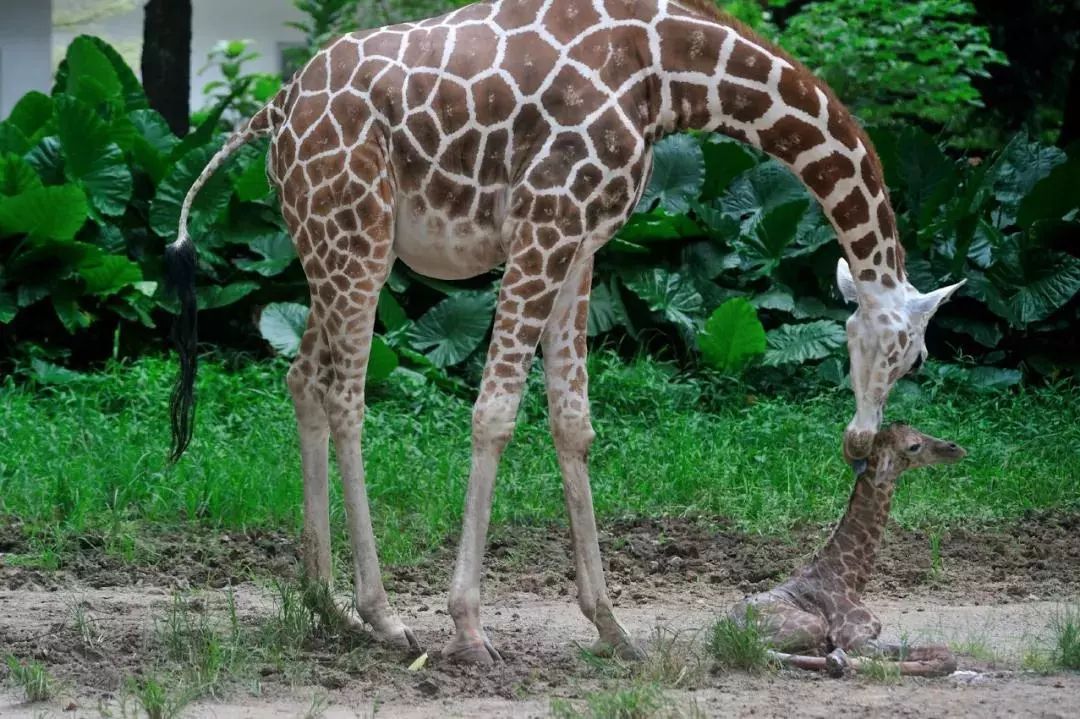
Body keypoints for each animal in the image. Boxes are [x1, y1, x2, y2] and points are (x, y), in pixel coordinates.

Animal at [730, 421, 967, 673]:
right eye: (914, 445)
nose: (954, 448)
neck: (851, 578)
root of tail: (726, 627)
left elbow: (943, 653)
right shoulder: (856, 637)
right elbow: (943, 655)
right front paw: (841, 658)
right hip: (812, 624)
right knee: (759, 650)